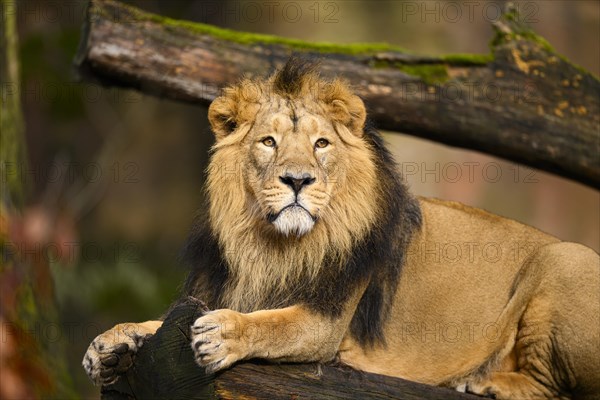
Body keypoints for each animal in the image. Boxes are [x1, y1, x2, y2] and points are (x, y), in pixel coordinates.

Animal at [84, 57, 600, 398]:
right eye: (268, 142)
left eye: (321, 144)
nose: (297, 180)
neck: (273, 246)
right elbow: (161, 322)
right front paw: (110, 343)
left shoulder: (327, 322)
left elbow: (272, 324)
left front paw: (224, 333)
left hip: (567, 256)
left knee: (555, 388)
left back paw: (488, 383)